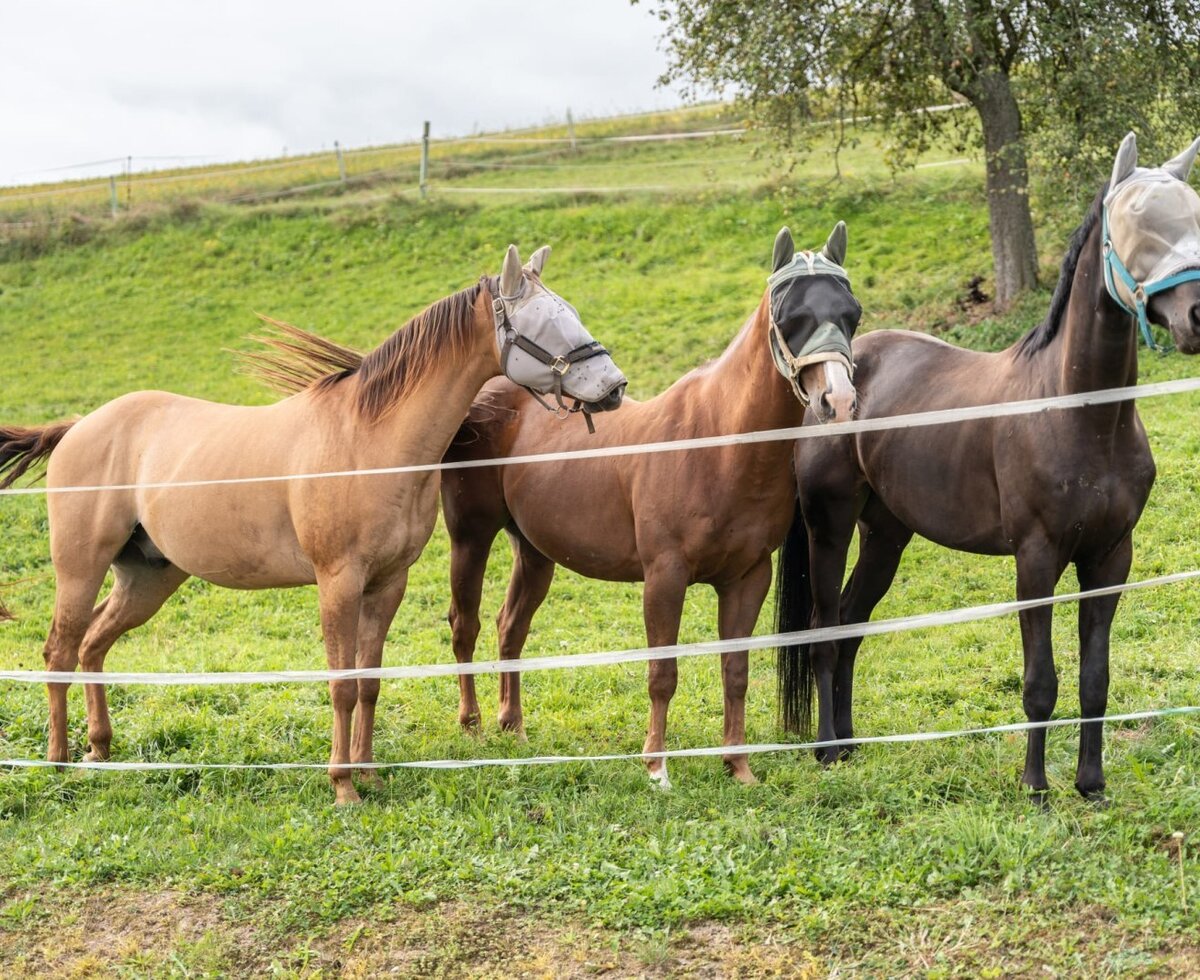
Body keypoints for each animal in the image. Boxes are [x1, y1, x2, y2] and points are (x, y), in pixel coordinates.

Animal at [0, 244, 627, 804]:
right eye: (545, 322)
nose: (614, 387)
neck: (368, 438)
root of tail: (78, 426)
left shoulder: (386, 584)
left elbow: (369, 682)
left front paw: (370, 775)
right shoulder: (338, 583)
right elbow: (342, 685)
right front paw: (343, 786)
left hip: (147, 578)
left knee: (93, 647)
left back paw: (100, 751)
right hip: (80, 568)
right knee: (59, 651)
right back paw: (58, 762)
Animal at [436, 223, 862, 788]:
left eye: (852, 314)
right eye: (790, 316)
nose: (838, 402)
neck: (718, 443)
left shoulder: (748, 579)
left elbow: (736, 673)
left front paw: (738, 766)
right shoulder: (665, 576)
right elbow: (663, 674)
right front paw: (657, 768)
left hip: (533, 551)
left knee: (511, 627)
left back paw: (514, 728)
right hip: (471, 536)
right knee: (466, 625)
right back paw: (472, 727)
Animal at [776, 132, 1200, 804]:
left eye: (1195, 211)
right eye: (1134, 219)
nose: (1197, 314)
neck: (1081, 414)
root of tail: (829, 381)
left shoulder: (1110, 559)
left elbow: (1096, 678)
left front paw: (1091, 784)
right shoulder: (1037, 559)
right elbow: (1040, 682)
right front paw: (1035, 788)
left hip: (886, 534)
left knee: (849, 623)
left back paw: (849, 743)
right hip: (830, 527)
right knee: (823, 630)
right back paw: (826, 751)